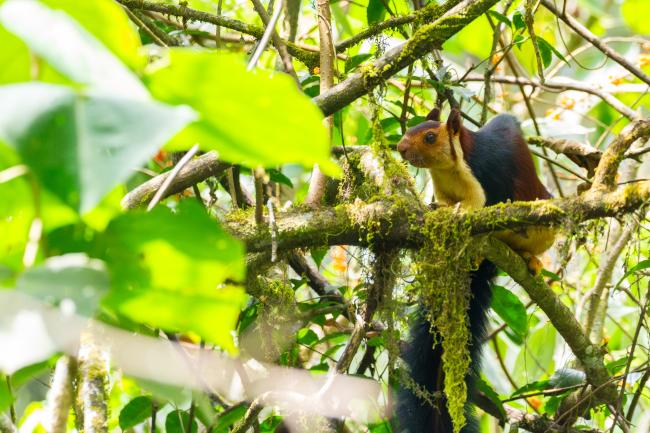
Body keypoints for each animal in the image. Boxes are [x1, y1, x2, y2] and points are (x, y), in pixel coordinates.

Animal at [394, 107, 555, 433]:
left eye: (430, 137)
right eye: (410, 128)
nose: (400, 148)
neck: (448, 168)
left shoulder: (480, 181)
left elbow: (475, 207)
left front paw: (455, 214)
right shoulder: (442, 188)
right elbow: (443, 203)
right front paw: (437, 210)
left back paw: (529, 258)